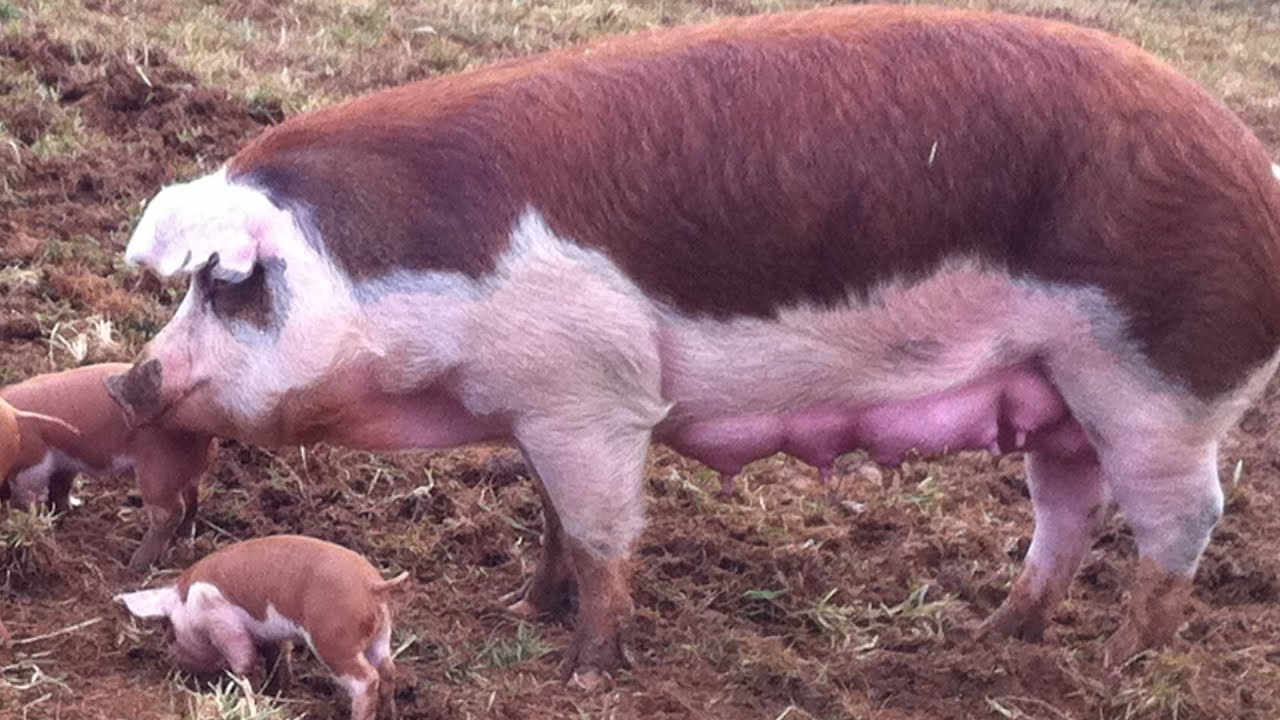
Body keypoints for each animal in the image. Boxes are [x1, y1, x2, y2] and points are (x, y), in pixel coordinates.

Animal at [2, 364, 215, 569]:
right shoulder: (65, 462)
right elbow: (60, 488)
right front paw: (63, 515)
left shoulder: (32, 462)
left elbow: (28, 496)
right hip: (188, 471)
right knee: (192, 503)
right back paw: (184, 549)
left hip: (159, 469)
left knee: (171, 512)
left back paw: (135, 564)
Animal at [107, 5, 1280, 680]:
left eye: (230, 286)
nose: (129, 385)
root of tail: (1253, 173)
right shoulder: (541, 404)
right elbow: (549, 519)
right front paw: (520, 608)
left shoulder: (593, 392)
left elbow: (601, 532)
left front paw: (585, 673)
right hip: (1058, 393)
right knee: (1069, 508)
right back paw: (994, 641)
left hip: (1158, 387)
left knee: (1182, 519)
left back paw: (1112, 671)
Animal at [117, 535, 407, 720]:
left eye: (168, 630)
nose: (175, 664)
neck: (187, 603)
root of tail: (372, 585)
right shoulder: (271, 632)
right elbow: (279, 658)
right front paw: (276, 692)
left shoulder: (221, 621)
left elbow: (243, 661)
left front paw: (245, 692)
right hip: (381, 635)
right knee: (388, 670)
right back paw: (390, 715)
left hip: (333, 639)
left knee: (366, 679)